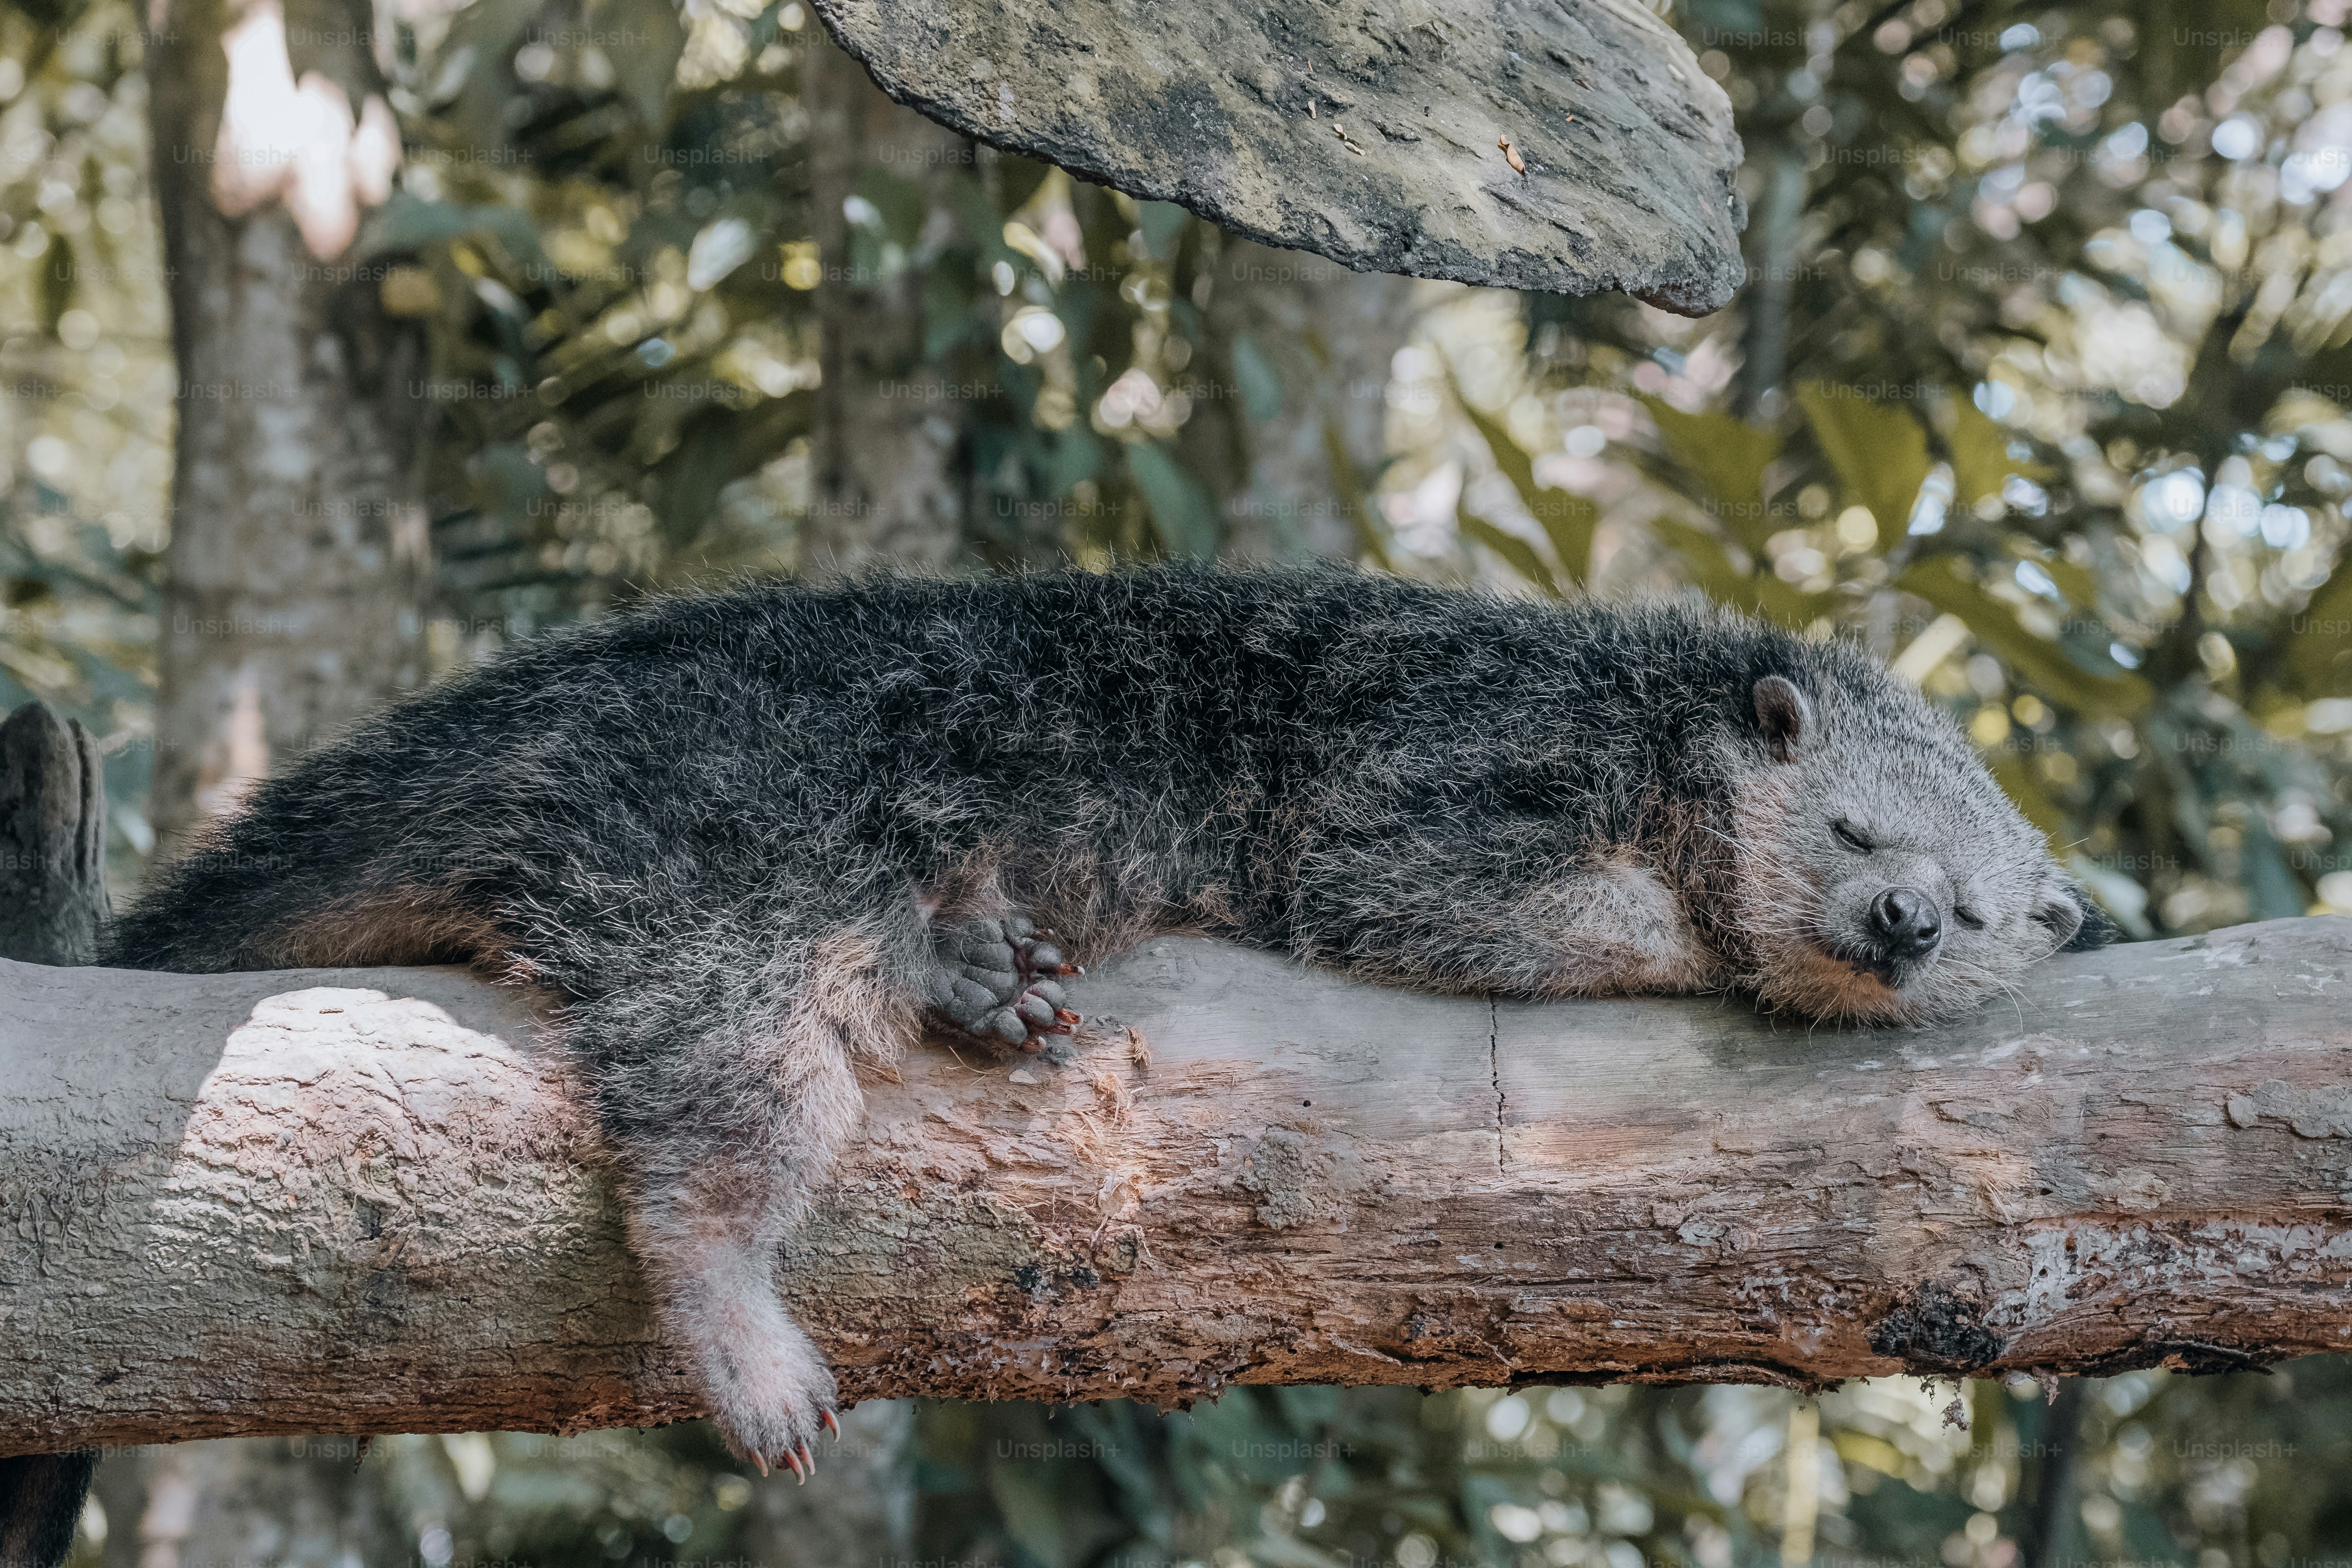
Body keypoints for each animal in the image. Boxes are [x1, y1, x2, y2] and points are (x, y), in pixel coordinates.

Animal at [104, 566, 2105, 1476]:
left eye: (1979, 907)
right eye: (1854, 836)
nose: (1903, 927)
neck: (1662, 718)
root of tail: (550, 701)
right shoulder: (1451, 765)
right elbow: (1429, 887)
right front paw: (1704, 940)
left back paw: (969, 966)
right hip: (722, 843)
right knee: (726, 1098)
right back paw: (735, 1307)